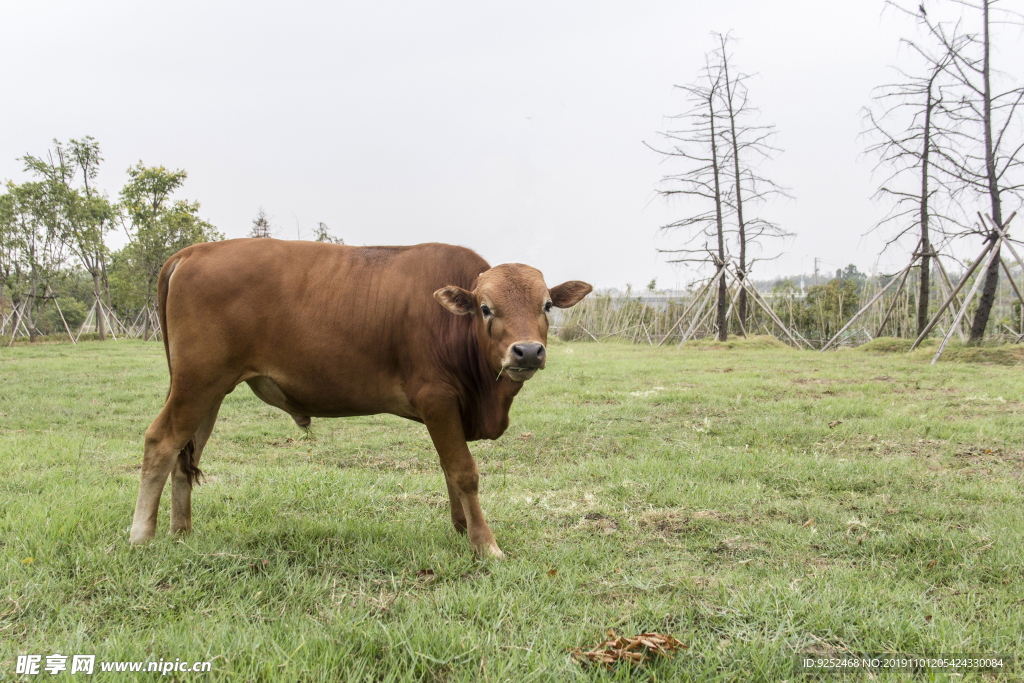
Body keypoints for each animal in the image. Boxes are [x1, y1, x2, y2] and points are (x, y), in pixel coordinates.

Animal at [128, 237, 593, 557]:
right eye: (485, 308)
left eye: (547, 305)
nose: (527, 351)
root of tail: (193, 252)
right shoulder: (437, 399)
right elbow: (464, 472)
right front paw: (485, 543)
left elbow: (449, 471)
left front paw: (462, 530)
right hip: (197, 382)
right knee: (161, 441)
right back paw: (141, 535)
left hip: (208, 392)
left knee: (185, 453)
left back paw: (182, 531)